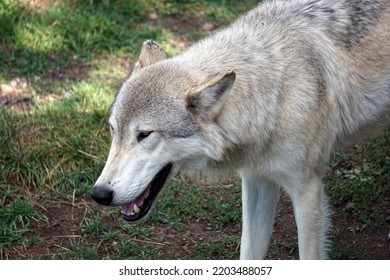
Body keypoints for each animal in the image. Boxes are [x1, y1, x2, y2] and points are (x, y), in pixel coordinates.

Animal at [92, 0, 390, 260]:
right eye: (113, 130)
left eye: (144, 135)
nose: (99, 194)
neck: (275, 94)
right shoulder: (256, 181)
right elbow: (249, 254)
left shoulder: (307, 190)